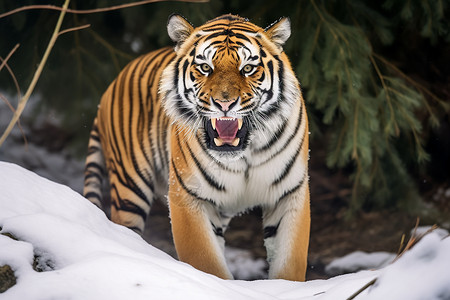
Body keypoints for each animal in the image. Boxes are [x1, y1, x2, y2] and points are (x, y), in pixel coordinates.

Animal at [83, 14, 310, 282]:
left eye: (247, 69)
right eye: (205, 68)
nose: (224, 103)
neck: (244, 157)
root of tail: (111, 86)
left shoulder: (290, 193)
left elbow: (289, 264)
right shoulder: (188, 196)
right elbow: (206, 262)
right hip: (129, 189)